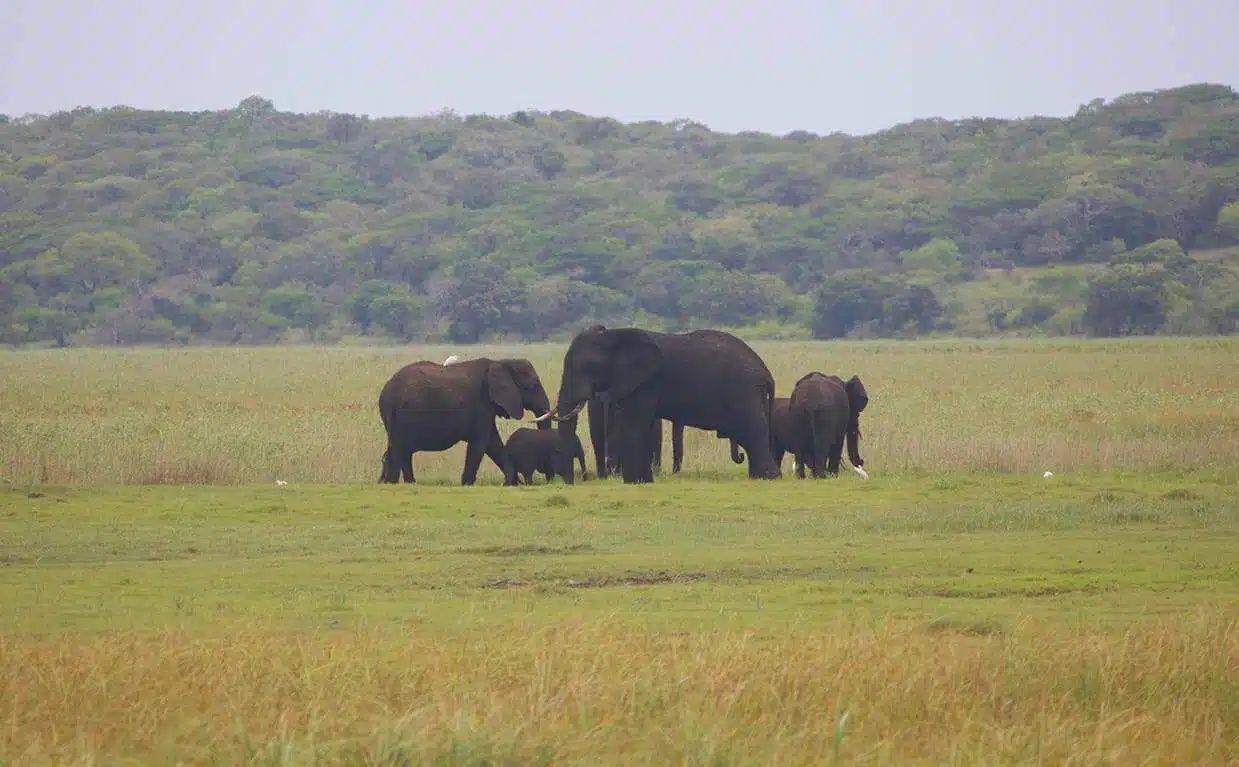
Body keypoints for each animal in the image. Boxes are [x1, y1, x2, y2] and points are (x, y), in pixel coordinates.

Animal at [378, 358, 552, 485]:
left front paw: (512, 483)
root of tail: (386, 391)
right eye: (533, 386)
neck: (501, 362)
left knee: (400, 450)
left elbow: (493, 443)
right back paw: (393, 483)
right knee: (399, 449)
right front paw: (467, 484)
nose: (548, 480)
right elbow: (481, 443)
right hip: (403, 415)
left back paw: (403, 483)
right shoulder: (481, 404)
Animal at [551, 327, 781, 483]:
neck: (615, 335)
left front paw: (636, 482)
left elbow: (633, 425)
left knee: (752, 433)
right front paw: (643, 481)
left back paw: (768, 477)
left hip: (744, 392)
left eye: (589, 366)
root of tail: (767, 373)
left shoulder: (646, 382)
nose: (570, 482)